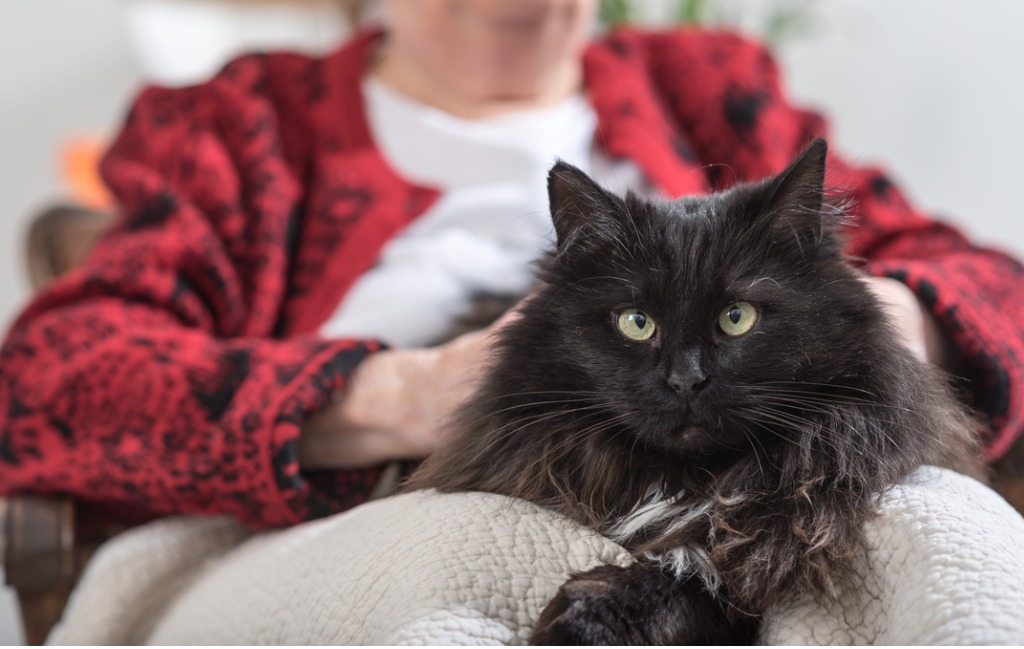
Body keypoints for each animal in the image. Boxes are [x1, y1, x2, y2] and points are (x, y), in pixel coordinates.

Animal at [401, 138, 974, 642]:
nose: (686, 379)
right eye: (636, 323)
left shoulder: (771, 543)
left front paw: (582, 618)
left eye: (737, 317)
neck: (684, 480)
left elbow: (690, 575)